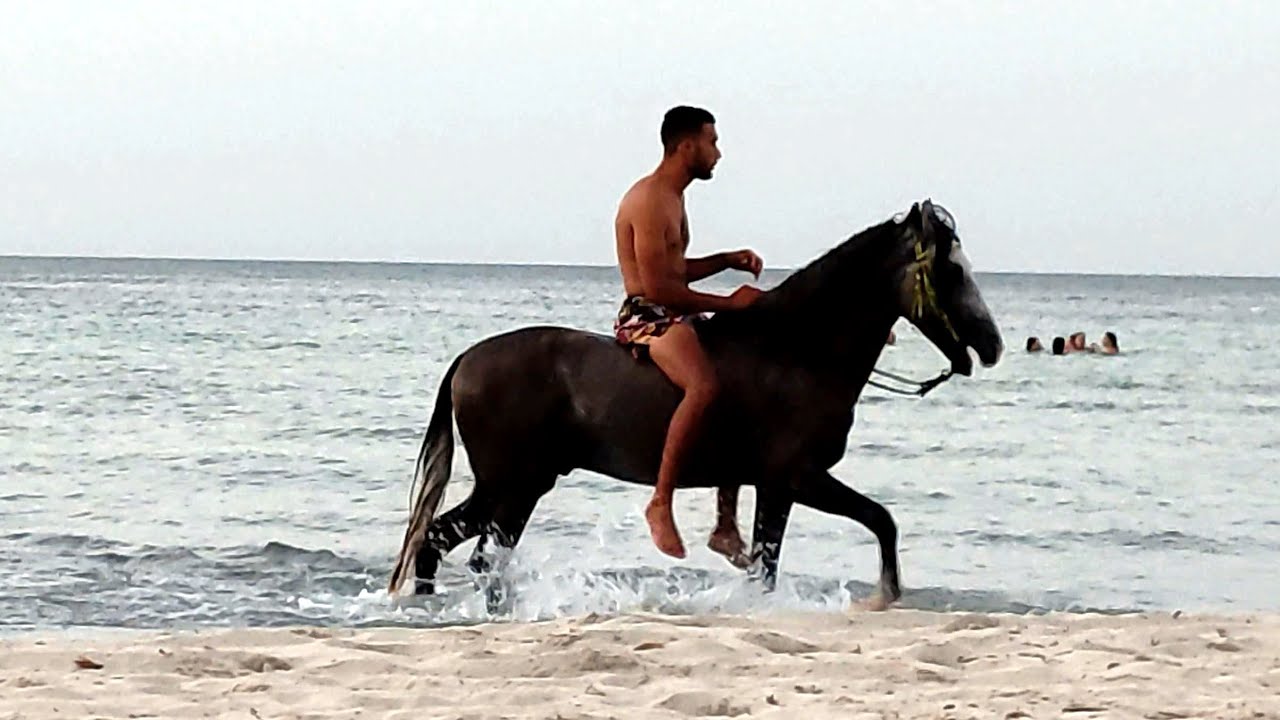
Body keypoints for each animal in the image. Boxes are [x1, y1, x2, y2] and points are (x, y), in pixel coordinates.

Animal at [386, 199, 1004, 611]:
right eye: (951, 269)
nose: (992, 344)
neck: (796, 348)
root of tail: (468, 359)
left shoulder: (775, 484)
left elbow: (793, 553)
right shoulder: (796, 477)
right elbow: (873, 524)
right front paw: (883, 596)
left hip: (509, 486)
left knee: (436, 541)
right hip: (515, 488)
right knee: (480, 558)